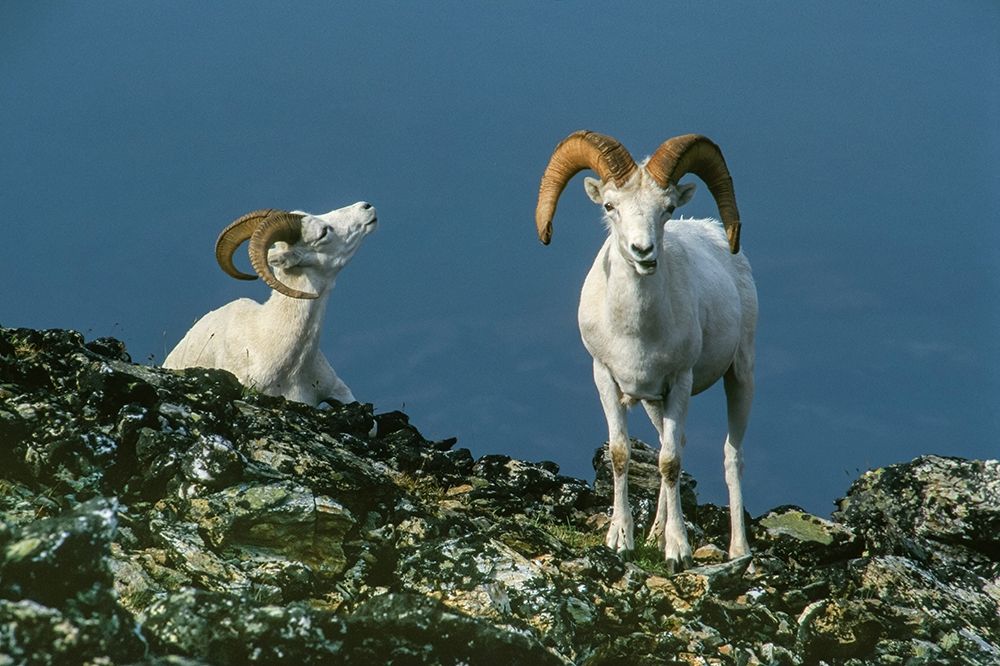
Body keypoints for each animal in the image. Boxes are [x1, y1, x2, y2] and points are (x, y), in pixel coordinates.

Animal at [534, 131, 757, 572]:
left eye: (667, 209)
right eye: (610, 206)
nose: (643, 251)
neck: (635, 331)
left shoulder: (681, 381)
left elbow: (669, 463)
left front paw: (677, 551)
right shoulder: (606, 376)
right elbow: (623, 454)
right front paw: (622, 540)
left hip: (739, 375)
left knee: (731, 456)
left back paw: (739, 551)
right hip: (657, 403)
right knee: (675, 444)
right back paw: (654, 533)